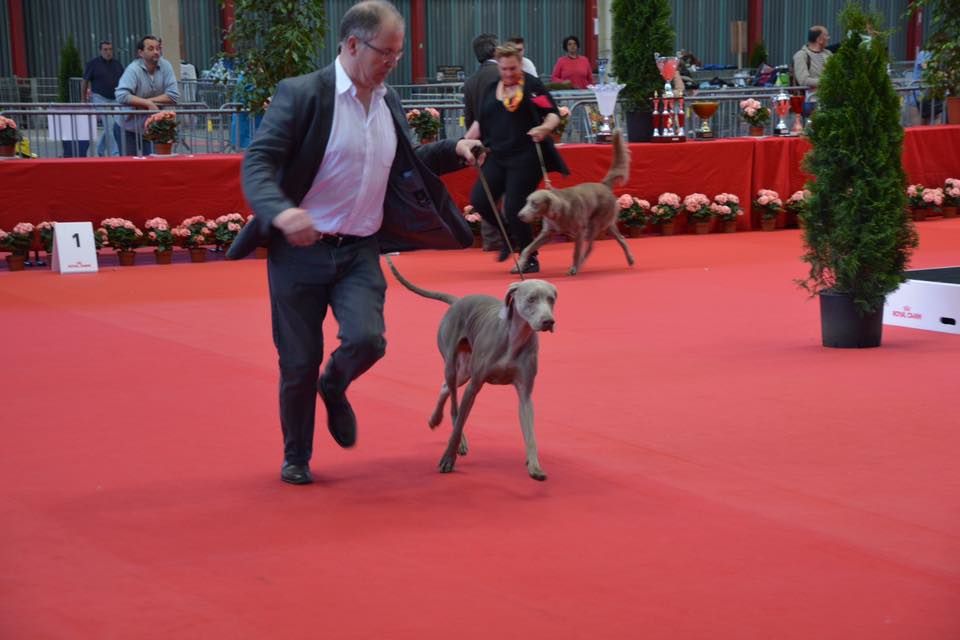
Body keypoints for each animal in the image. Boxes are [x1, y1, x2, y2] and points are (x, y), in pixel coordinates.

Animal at [386, 255, 560, 480]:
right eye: (531, 299)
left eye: (551, 299)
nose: (548, 321)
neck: (514, 338)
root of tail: (457, 301)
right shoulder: (474, 385)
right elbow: (460, 419)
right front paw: (448, 458)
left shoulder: (525, 392)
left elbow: (530, 432)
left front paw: (535, 466)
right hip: (454, 365)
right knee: (453, 405)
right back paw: (450, 432)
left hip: (465, 370)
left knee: (445, 387)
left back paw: (435, 419)